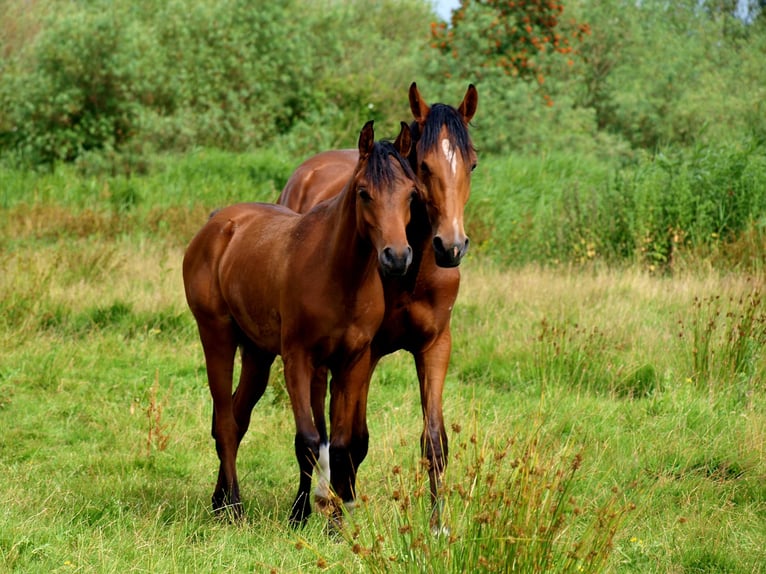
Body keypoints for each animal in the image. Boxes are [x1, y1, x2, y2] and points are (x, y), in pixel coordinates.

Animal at [182, 122, 420, 528]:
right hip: (216, 337)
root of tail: (217, 224)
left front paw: (337, 524)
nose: (397, 258)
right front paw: (298, 515)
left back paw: (219, 501)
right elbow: (307, 441)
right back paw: (234, 507)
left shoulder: (353, 362)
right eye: (364, 193)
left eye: (410, 194)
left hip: (257, 355)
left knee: (236, 417)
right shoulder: (298, 359)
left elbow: (340, 446)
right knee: (226, 424)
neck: (339, 275)